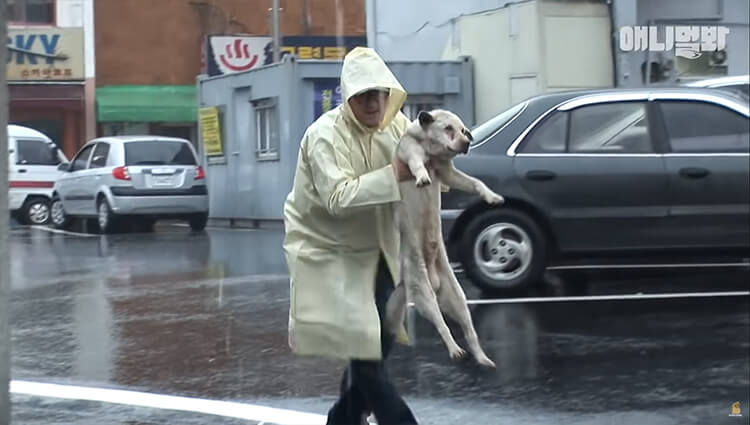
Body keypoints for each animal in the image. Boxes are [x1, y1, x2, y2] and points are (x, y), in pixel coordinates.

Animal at [388, 110, 506, 368]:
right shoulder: (410, 154)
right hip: (424, 294)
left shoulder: (448, 174)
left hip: (457, 298)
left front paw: (492, 197)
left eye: (463, 130)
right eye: (448, 128)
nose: (467, 141)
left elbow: (475, 182)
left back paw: (482, 358)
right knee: (442, 325)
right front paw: (422, 177)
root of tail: (432, 280)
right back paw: (454, 349)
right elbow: (417, 164)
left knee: (469, 330)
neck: (433, 153)